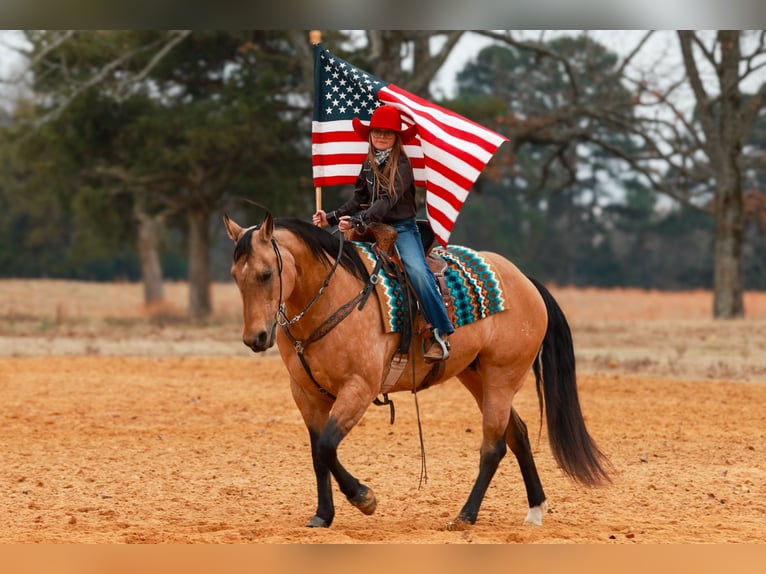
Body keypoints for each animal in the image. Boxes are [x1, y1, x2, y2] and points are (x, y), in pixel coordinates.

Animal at [224, 212, 611, 530]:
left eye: (266, 274)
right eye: (235, 276)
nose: (255, 338)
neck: (335, 298)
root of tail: (526, 281)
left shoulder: (359, 389)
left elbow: (327, 448)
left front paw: (364, 498)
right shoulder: (306, 395)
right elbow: (318, 452)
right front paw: (323, 515)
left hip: (503, 376)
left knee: (493, 446)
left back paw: (465, 515)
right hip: (476, 376)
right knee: (518, 435)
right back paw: (534, 509)